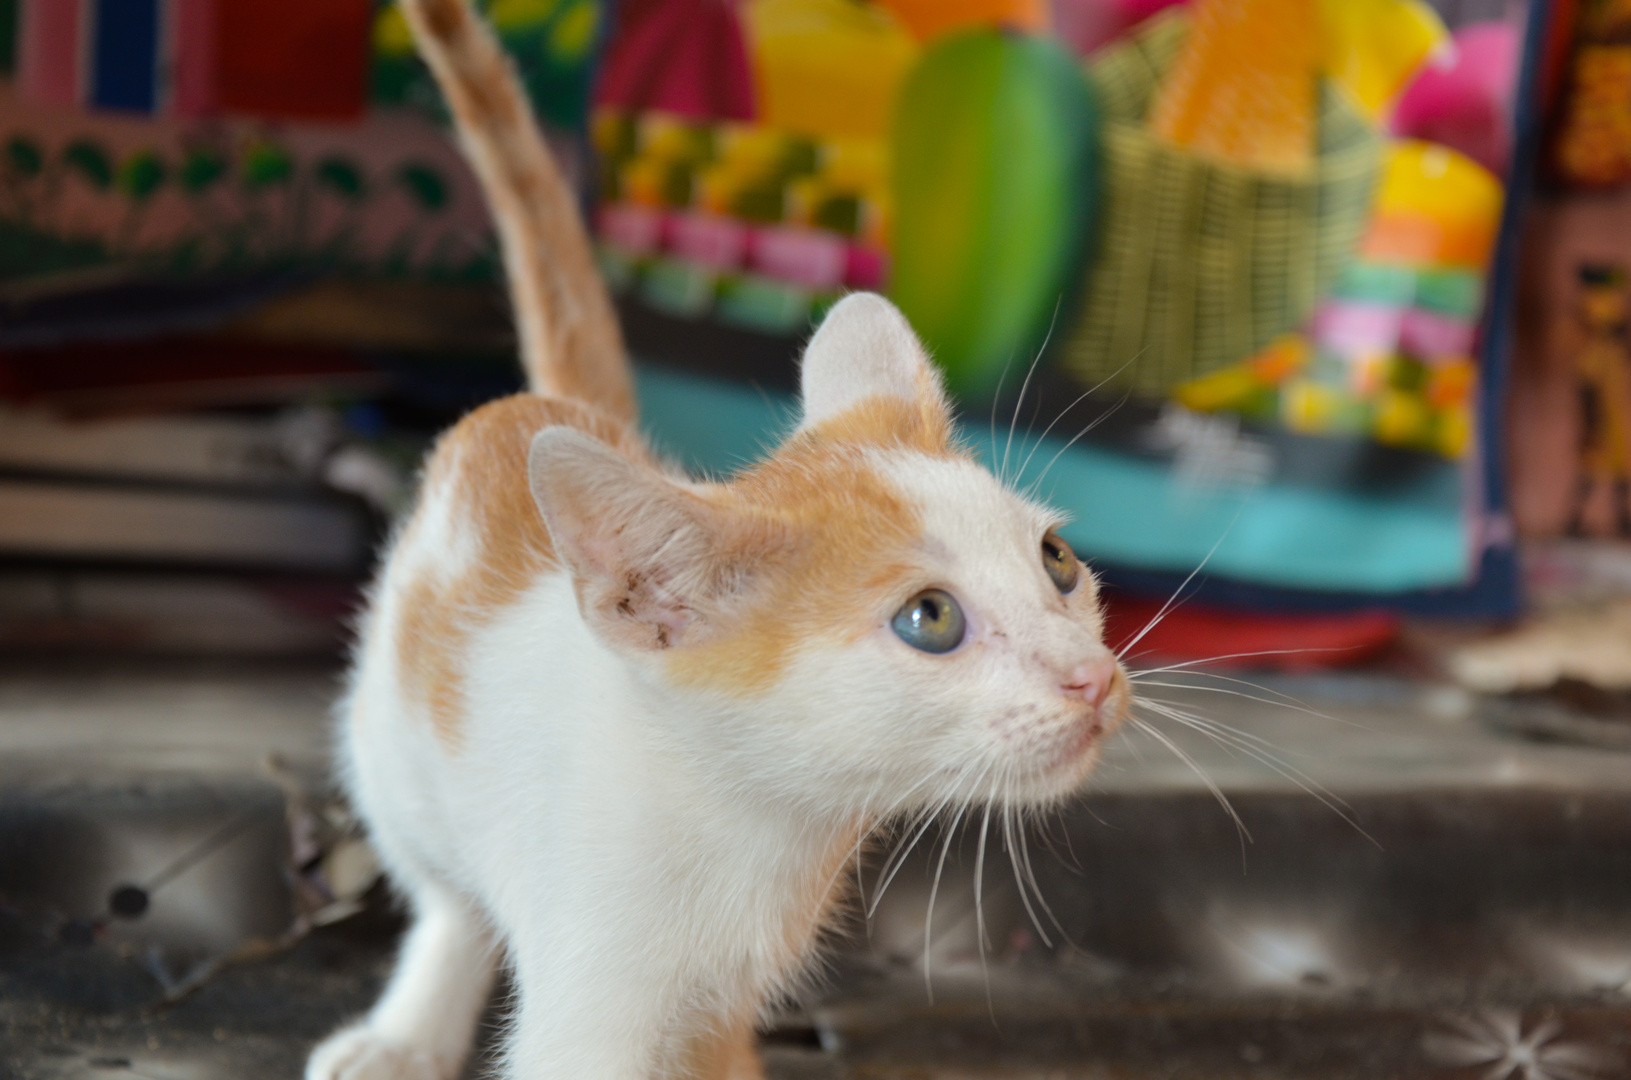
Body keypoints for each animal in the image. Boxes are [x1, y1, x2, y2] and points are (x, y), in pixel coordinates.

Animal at [303, 2, 1122, 1080]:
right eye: (929, 620)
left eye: (1055, 563)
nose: (1093, 677)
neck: (758, 825)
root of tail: (544, 409)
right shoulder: (593, 1005)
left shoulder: (721, 998)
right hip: (389, 760)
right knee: (448, 898)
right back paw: (405, 1036)